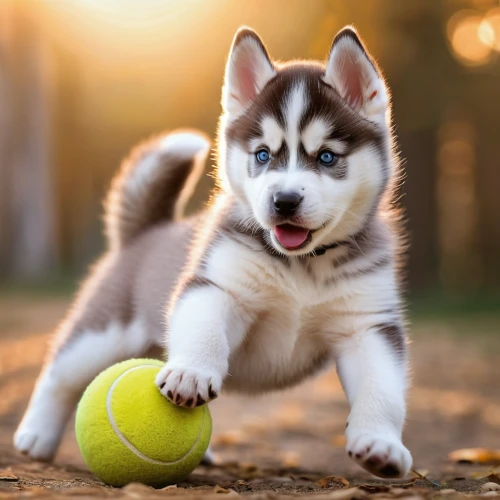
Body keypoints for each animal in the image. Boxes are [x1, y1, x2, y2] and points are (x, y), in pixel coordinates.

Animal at [16, 26, 414, 476]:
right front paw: (190, 372)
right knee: (60, 373)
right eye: (262, 155)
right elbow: (203, 330)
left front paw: (381, 444)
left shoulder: (369, 325)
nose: (284, 201)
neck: (302, 267)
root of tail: (144, 232)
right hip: (104, 333)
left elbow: (382, 389)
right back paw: (35, 436)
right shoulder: (217, 286)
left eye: (327, 157)